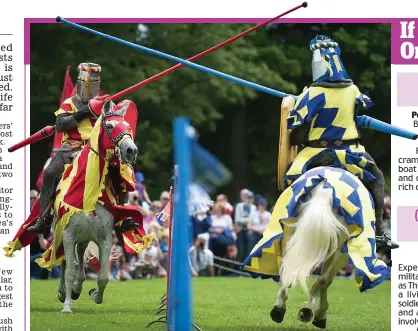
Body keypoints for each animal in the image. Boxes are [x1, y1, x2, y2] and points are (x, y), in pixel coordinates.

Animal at [50, 100, 139, 314]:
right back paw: (64, 292)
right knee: (64, 263)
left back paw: (76, 290)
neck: (87, 191)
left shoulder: (105, 238)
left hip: (84, 238)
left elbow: (103, 277)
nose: (131, 150)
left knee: (81, 262)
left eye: (128, 126)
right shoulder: (67, 234)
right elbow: (69, 271)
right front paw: (66, 306)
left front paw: (94, 295)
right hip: (60, 233)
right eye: (110, 126)